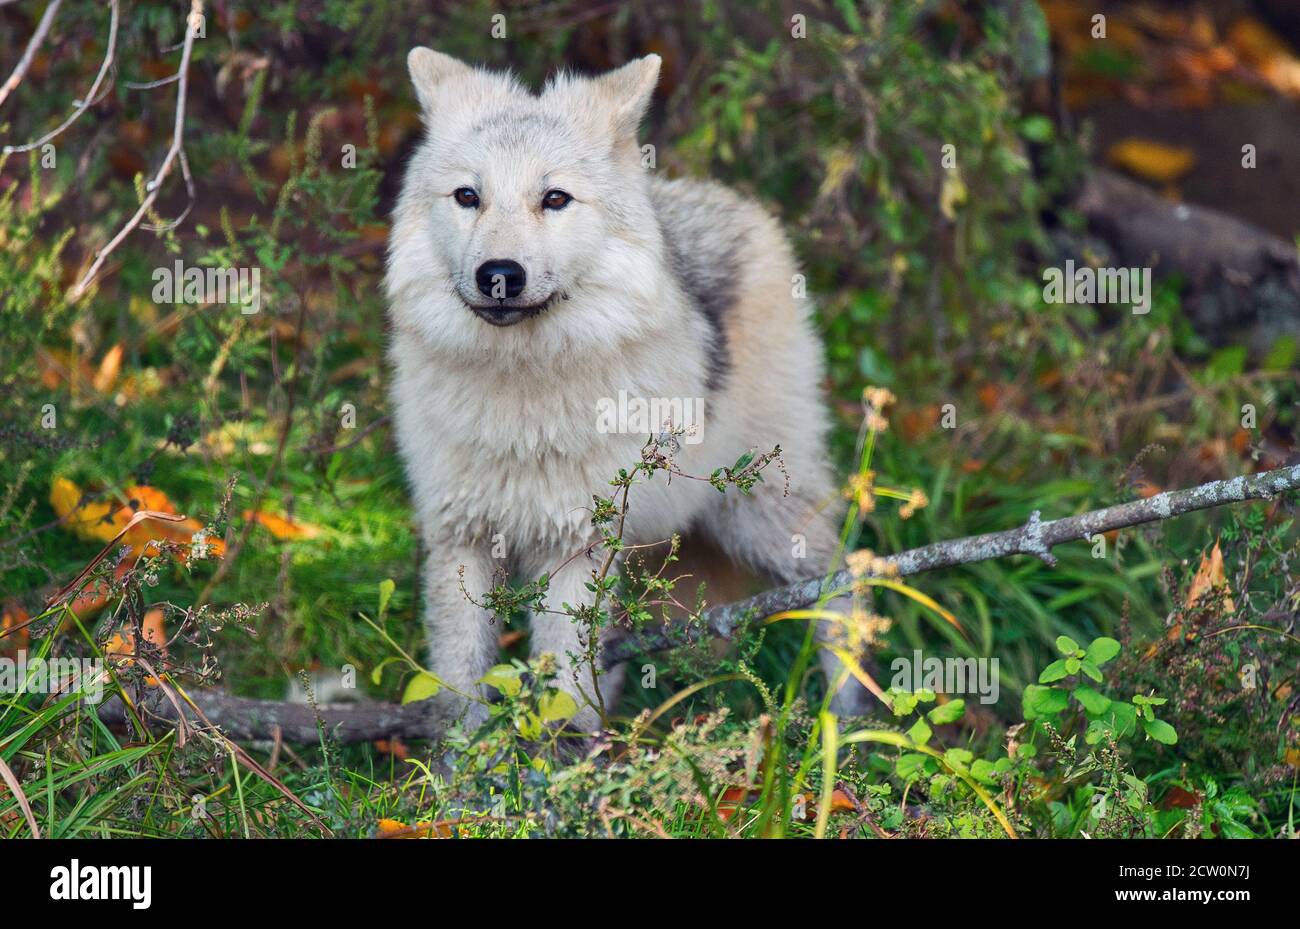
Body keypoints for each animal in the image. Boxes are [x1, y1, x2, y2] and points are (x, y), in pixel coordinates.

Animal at [387, 49, 873, 732]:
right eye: (468, 196)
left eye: (554, 198)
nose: (499, 275)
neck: (522, 402)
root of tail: (735, 203)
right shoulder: (460, 537)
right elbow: (462, 687)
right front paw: (463, 764)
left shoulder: (575, 546)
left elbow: (563, 687)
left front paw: (557, 759)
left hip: (762, 519)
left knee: (844, 584)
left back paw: (848, 723)